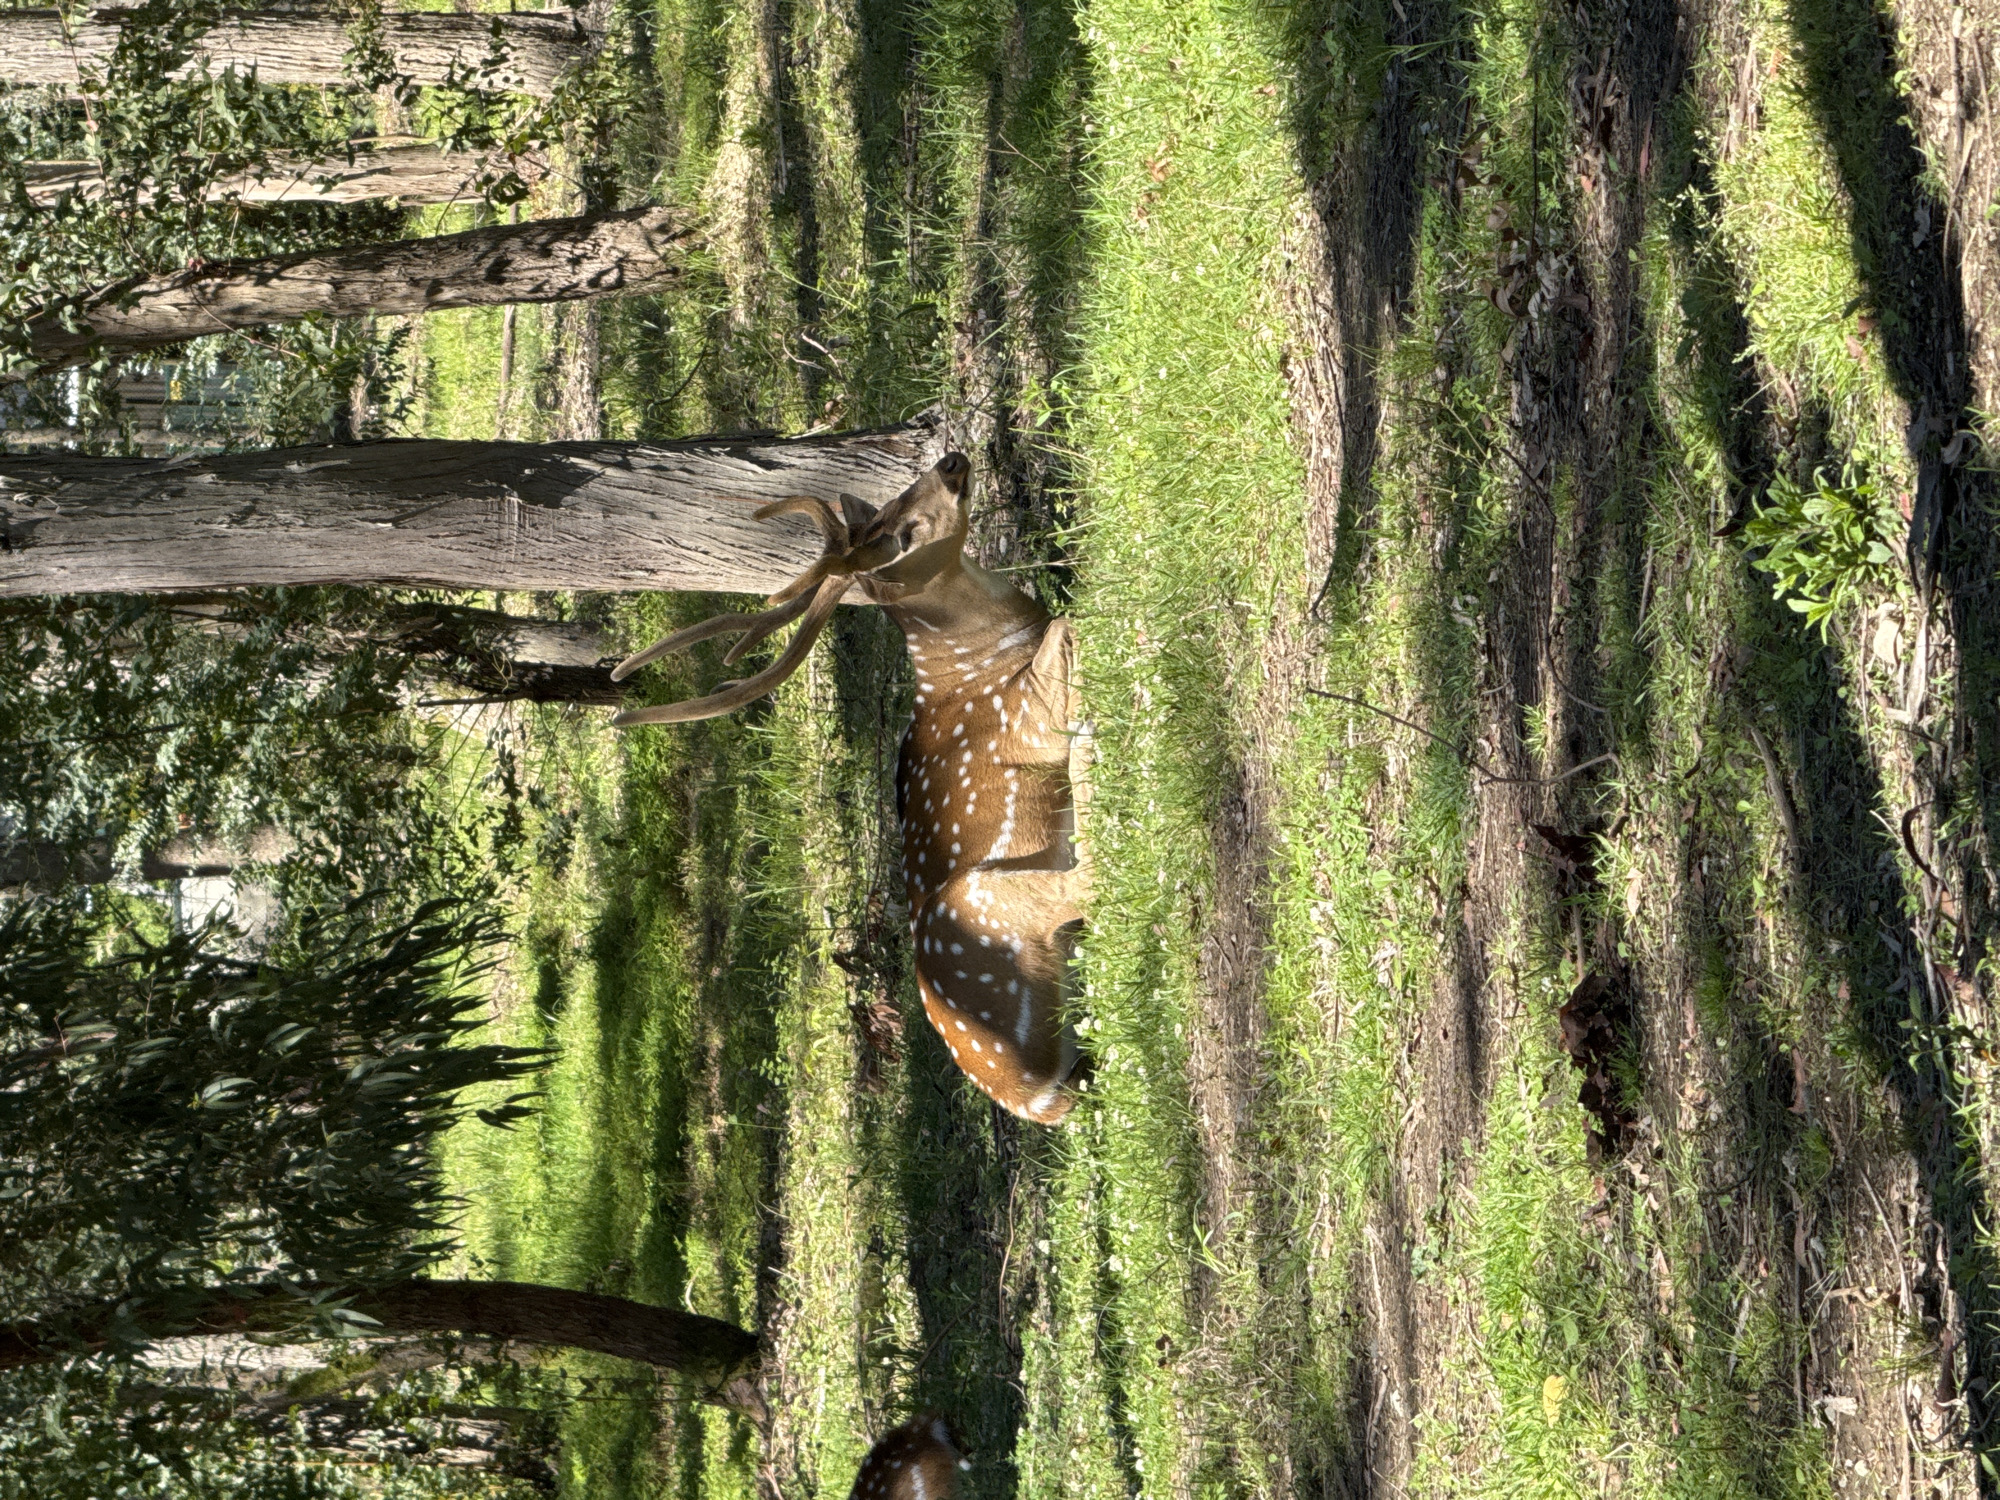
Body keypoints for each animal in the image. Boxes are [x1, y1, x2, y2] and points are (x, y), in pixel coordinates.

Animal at [608, 451, 1090, 1125]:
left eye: (896, 500)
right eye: (900, 535)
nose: (951, 462)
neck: (985, 651)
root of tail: (1035, 1095)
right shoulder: (1029, 713)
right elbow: (1070, 620)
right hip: (979, 901)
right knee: (1086, 880)